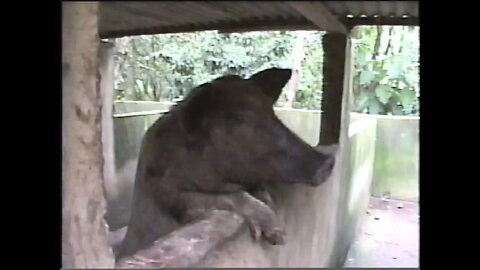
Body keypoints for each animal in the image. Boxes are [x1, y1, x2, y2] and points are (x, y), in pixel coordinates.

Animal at [117, 67, 338, 260]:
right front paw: (278, 235)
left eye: (271, 112)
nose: (328, 161)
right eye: (238, 120)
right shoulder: (168, 193)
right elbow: (231, 197)